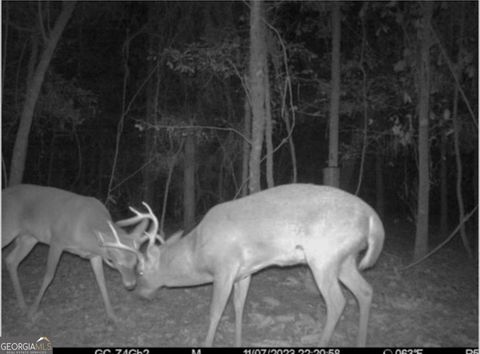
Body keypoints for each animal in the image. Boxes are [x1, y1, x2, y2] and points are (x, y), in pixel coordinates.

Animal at [125, 184, 384, 348]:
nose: (136, 293)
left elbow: (215, 311)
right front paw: (238, 341)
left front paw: (207, 343)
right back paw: (361, 342)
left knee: (337, 302)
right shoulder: (244, 273)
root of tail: (373, 218)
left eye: (140, 270)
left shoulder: (224, 267)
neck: (197, 253)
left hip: (324, 257)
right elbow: (239, 307)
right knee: (365, 291)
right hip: (345, 259)